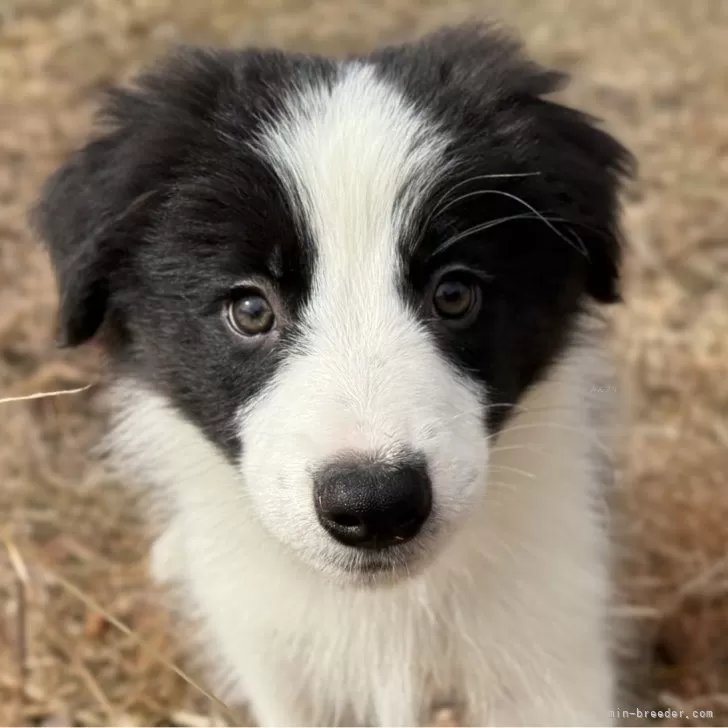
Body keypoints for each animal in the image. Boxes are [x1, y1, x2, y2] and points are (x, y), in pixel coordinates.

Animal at [34, 24, 636, 728]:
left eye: (454, 294)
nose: (374, 506)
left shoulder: (550, 649)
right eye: (250, 309)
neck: (383, 610)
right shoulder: (282, 668)